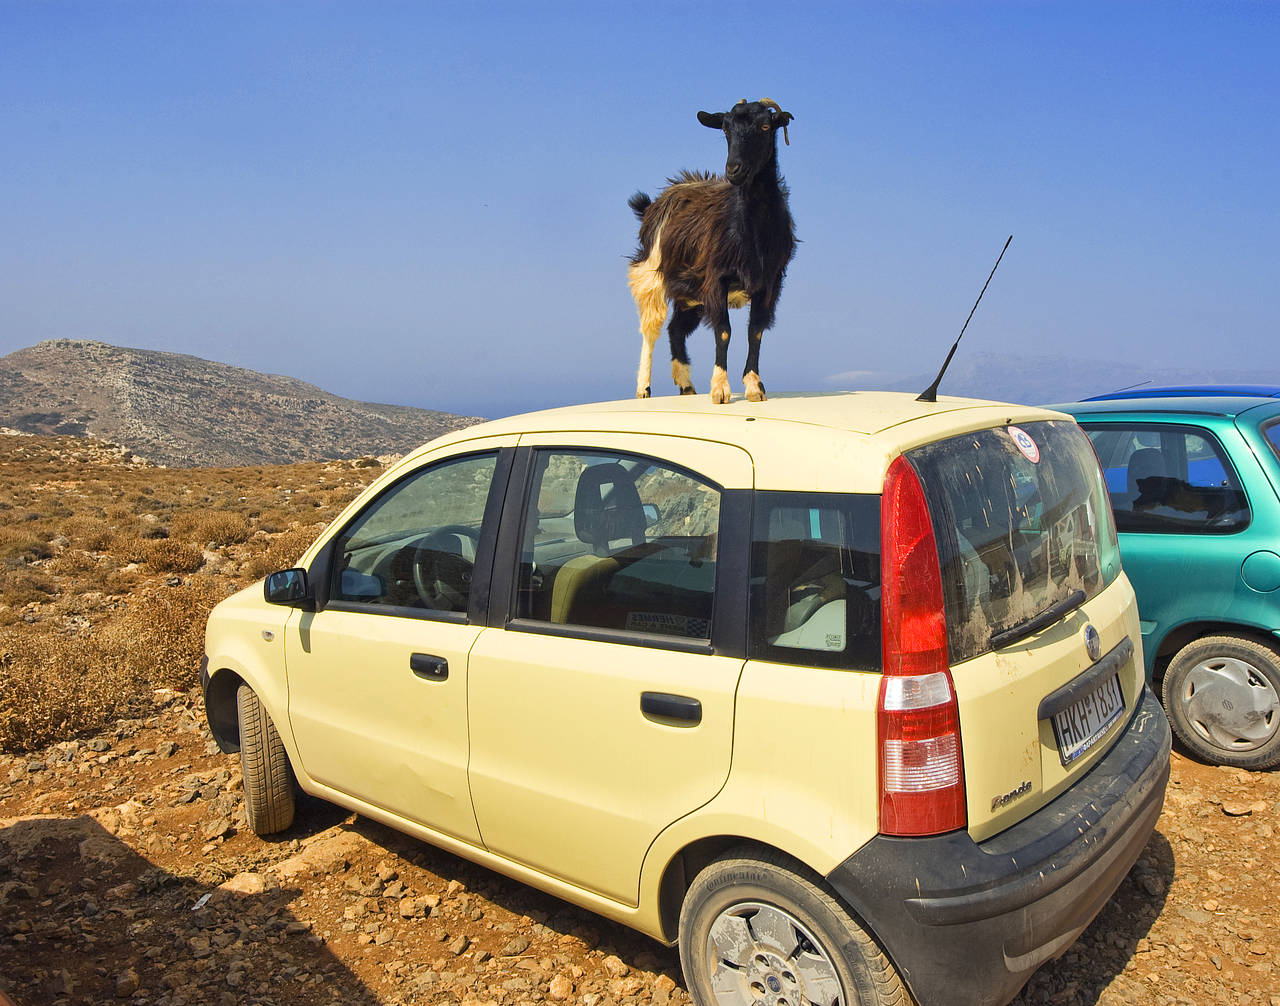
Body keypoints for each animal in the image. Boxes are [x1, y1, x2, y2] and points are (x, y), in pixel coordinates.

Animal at [627, 99, 793, 404]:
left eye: (766, 126)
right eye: (725, 129)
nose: (734, 169)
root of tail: (653, 205)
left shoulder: (770, 282)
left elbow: (755, 331)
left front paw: (754, 386)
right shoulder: (716, 278)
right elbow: (724, 331)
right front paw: (720, 389)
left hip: (691, 294)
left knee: (676, 329)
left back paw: (686, 385)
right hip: (651, 274)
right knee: (651, 328)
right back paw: (643, 388)